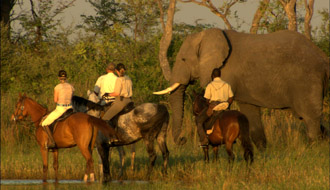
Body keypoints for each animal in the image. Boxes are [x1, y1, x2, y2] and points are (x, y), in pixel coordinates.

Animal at [154, 28, 328, 150]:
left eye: (183, 59)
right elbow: (249, 110)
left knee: (310, 117)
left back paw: (314, 149)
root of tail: (322, 55)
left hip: (307, 79)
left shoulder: (225, 72)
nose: (183, 140)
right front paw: (262, 152)